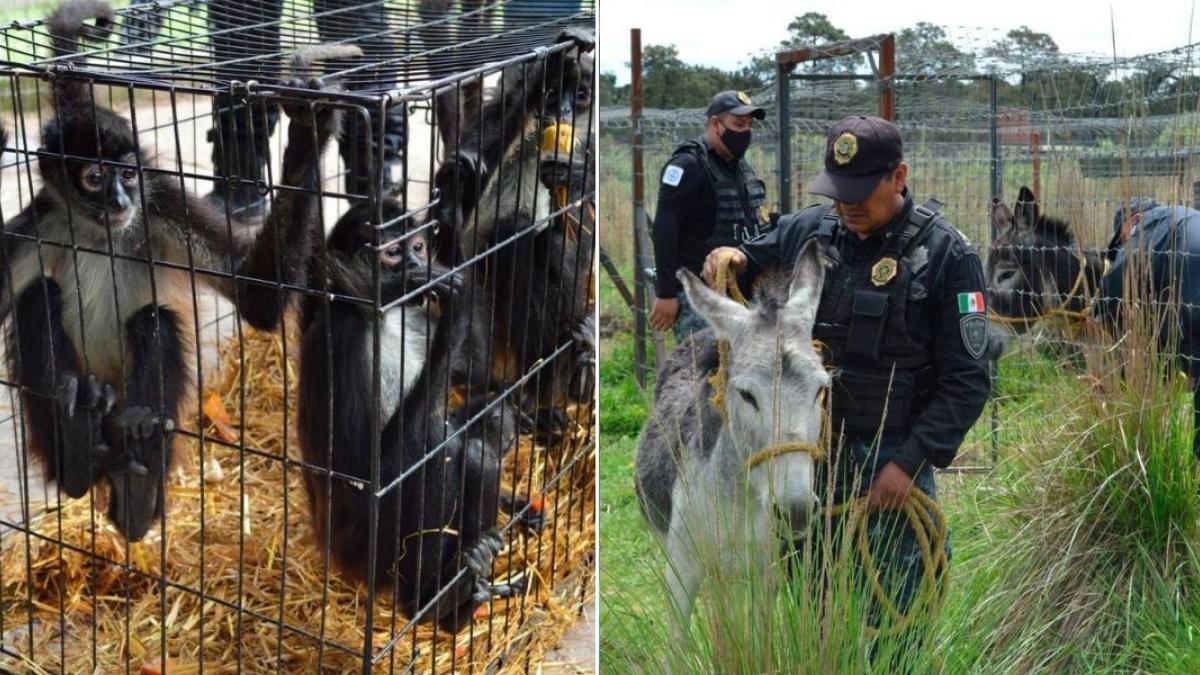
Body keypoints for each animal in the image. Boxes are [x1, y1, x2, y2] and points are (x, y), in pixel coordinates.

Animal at [0, 0, 352, 538]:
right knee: (40, 295)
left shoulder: (159, 202)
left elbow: (260, 299)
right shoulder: (37, 223)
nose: (120, 201)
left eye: (128, 174)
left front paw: (308, 131)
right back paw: (77, 456)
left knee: (155, 321)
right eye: (95, 179)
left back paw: (137, 492)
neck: (99, 233)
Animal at [297, 199, 528, 629]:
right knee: (443, 449)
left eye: (418, 246)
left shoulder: (414, 319)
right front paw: (453, 315)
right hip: (373, 549)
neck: (383, 320)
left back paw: (459, 599)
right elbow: (366, 473)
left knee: (472, 453)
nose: (417, 265)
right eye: (392, 252)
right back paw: (427, 602)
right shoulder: (341, 334)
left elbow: (476, 373)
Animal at [434, 28, 597, 427]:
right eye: (552, 93)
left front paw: (575, 174)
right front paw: (552, 59)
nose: (563, 111)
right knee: (510, 234)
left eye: (581, 95)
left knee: (549, 246)